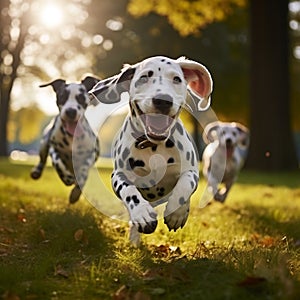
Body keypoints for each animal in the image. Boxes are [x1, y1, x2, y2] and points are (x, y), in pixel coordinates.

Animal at [31, 75, 100, 204]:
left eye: (81, 97)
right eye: (62, 96)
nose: (71, 111)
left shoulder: (90, 154)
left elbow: (84, 172)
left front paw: (76, 193)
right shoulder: (54, 148)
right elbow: (58, 163)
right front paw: (67, 178)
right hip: (44, 143)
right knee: (42, 160)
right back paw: (37, 171)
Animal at [89, 56, 213, 246]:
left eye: (177, 79)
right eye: (144, 78)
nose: (163, 100)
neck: (153, 146)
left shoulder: (191, 171)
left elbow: (185, 184)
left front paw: (177, 213)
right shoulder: (118, 175)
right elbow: (128, 190)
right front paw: (142, 213)